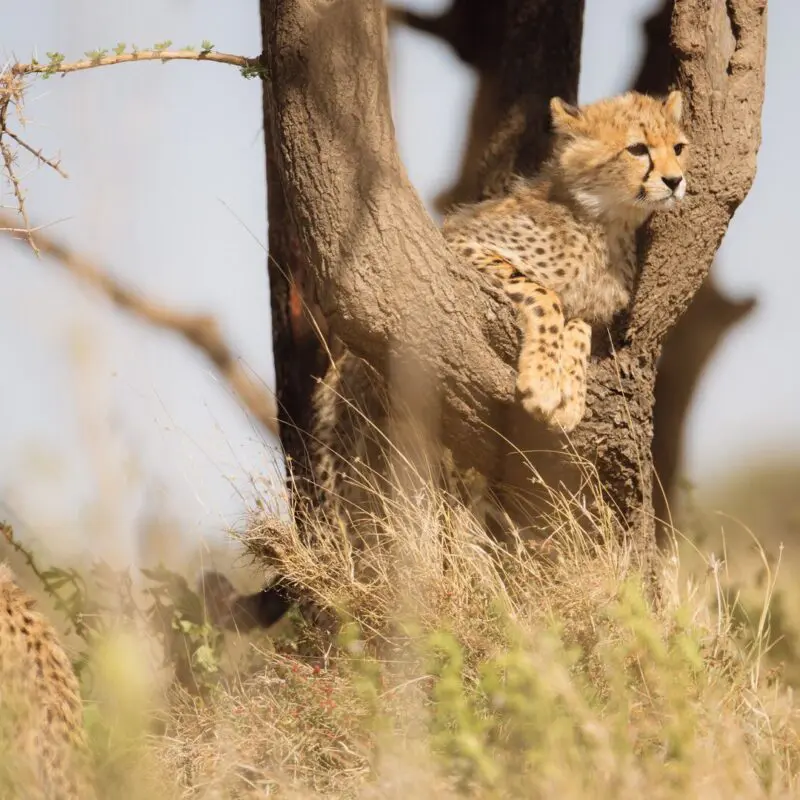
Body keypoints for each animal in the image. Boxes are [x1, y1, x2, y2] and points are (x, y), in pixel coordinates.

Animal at [200, 90, 689, 633]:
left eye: (679, 147)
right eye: (638, 149)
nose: (675, 181)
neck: (602, 220)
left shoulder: (593, 312)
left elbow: (578, 325)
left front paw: (568, 392)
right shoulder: (462, 250)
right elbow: (544, 295)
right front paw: (543, 383)